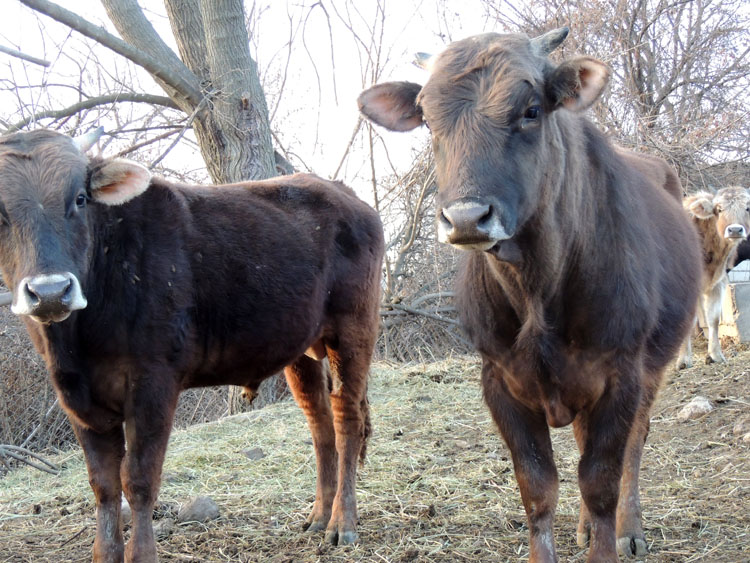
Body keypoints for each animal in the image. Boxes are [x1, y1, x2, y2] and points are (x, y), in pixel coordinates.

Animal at [0, 129, 384, 563]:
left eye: (79, 199)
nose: (50, 292)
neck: (77, 344)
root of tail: (342, 192)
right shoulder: (78, 398)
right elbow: (104, 485)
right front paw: (105, 552)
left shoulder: (153, 383)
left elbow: (139, 480)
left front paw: (142, 554)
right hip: (301, 348)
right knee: (319, 421)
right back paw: (319, 514)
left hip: (353, 329)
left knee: (346, 418)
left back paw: (342, 523)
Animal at [362, 27, 704, 563]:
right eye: (428, 119)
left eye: (531, 110)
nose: (465, 217)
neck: (538, 293)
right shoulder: (500, 380)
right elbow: (538, 487)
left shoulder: (621, 374)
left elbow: (601, 481)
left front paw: (608, 539)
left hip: (653, 367)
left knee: (635, 444)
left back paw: (629, 529)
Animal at [680, 187, 750, 368]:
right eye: (719, 209)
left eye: (748, 207)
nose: (735, 230)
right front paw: (683, 359)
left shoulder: (718, 283)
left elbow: (713, 319)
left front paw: (715, 355)